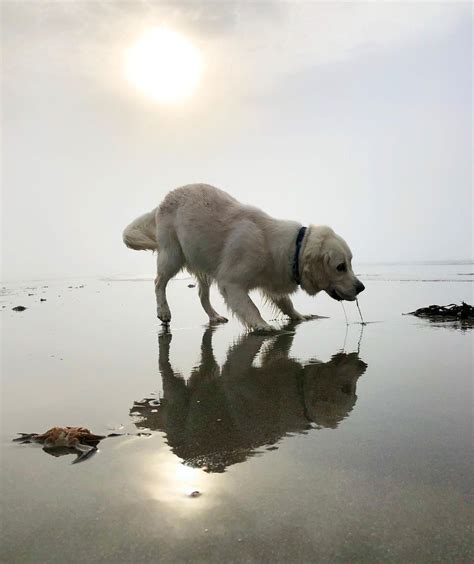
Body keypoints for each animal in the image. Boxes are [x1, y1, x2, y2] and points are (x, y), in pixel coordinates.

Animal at [122, 183, 362, 328]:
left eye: (351, 263)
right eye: (341, 266)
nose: (361, 288)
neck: (290, 249)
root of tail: (165, 198)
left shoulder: (272, 281)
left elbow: (286, 303)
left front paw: (299, 316)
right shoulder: (231, 282)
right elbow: (250, 306)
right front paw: (262, 326)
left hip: (203, 261)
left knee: (202, 295)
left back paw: (214, 316)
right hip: (172, 255)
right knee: (159, 283)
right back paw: (164, 311)